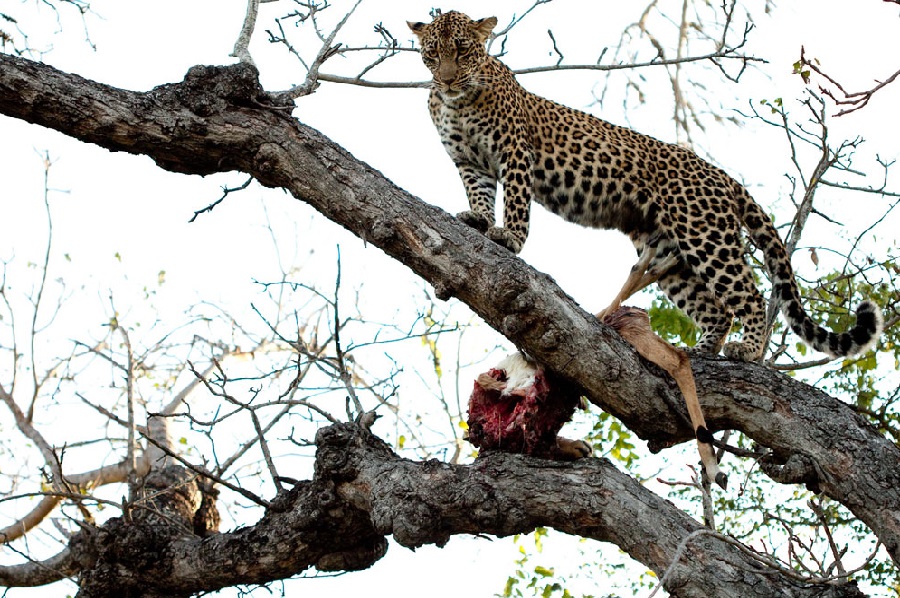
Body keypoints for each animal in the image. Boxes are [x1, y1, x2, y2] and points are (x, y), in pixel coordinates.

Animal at [410, 11, 884, 364]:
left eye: (463, 50)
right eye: (432, 54)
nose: (447, 79)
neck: (457, 102)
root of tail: (721, 175)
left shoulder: (514, 151)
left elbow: (516, 201)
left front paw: (509, 236)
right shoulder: (469, 162)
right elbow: (479, 193)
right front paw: (476, 218)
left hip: (705, 234)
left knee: (748, 295)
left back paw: (747, 351)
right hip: (668, 250)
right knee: (714, 307)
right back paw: (700, 350)